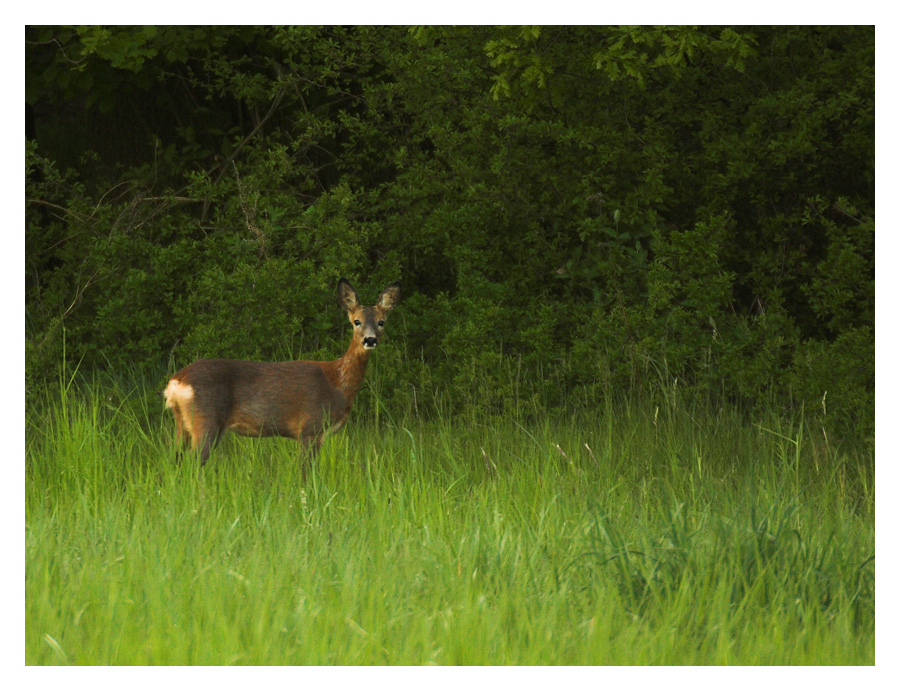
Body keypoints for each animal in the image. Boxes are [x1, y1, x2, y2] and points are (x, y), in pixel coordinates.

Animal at [163, 278, 400, 478]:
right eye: (356, 321)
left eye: (381, 322)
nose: (370, 340)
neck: (338, 384)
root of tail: (176, 382)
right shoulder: (310, 427)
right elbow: (306, 475)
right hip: (206, 420)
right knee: (193, 466)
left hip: (182, 422)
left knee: (176, 462)